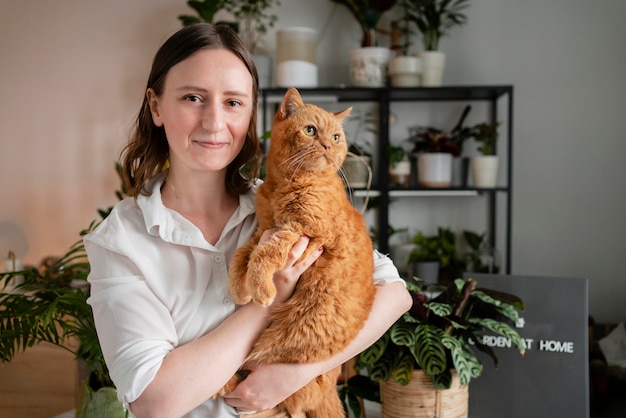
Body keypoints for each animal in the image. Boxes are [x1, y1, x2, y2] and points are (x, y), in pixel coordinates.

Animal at [222, 86, 372, 416]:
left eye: (336, 137)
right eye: (310, 130)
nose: (328, 145)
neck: (283, 185)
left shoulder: (302, 231)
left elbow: (264, 255)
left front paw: (261, 289)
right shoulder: (264, 229)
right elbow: (242, 256)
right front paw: (240, 288)